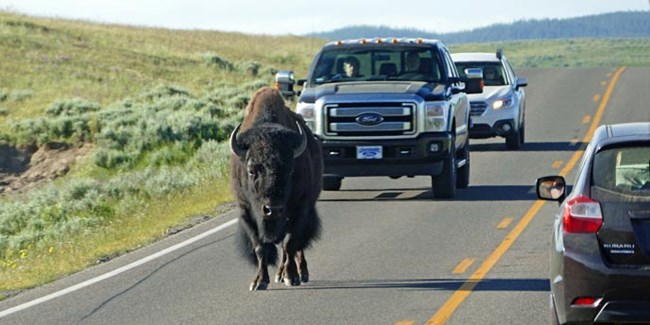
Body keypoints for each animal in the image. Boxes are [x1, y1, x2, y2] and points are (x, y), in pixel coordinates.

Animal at [228, 86, 322, 288]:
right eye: (251, 170)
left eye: (290, 169)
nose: (273, 209)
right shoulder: (246, 212)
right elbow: (260, 247)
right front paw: (259, 282)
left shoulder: (299, 209)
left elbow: (290, 244)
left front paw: (291, 277)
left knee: (296, 247)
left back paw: (298, 273)